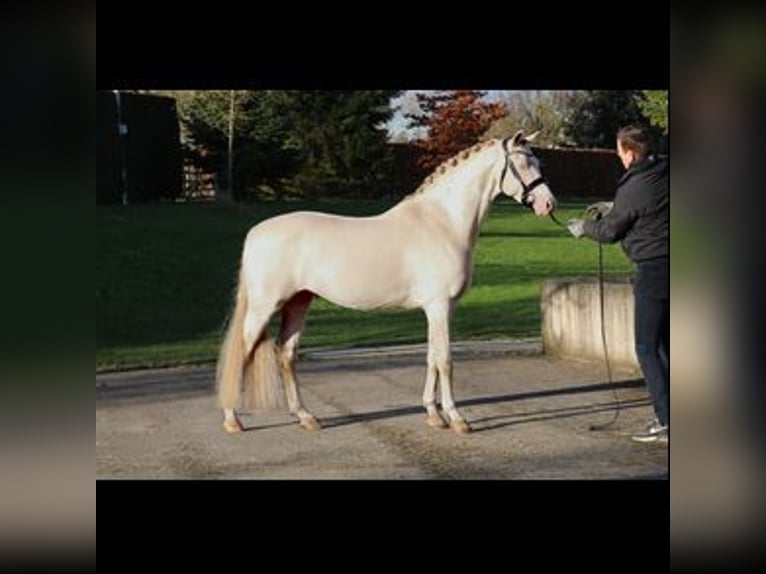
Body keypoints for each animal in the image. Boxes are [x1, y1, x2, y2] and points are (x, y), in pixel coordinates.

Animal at [216, 130, 557, 435]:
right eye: (523, 163)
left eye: (539, 162)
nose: (548, 204)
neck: (442, 222)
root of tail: (255, 233)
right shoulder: (438, 306)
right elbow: (445, 360)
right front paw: (457, 418)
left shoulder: (440, 310)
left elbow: (431, 357)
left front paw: (433, 415)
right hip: (264, 307)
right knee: (243, 351)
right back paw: (232, 419)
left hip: (299, 301)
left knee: (286, 354)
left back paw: (305, 417)